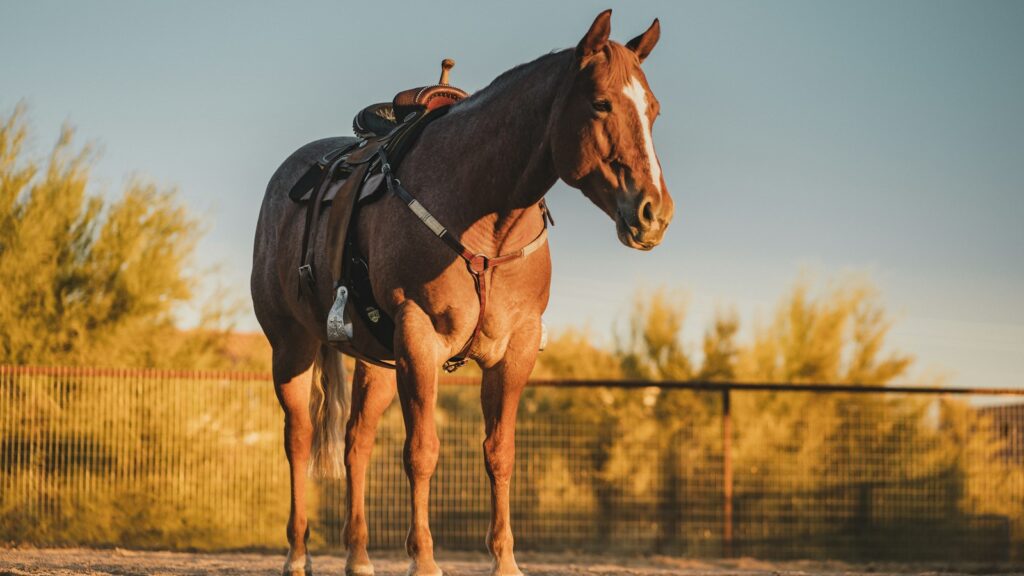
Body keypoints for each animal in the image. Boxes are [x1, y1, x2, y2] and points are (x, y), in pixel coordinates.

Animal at [251, 9, 673, 576]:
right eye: (601, 103)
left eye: (652, 109)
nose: (654, 213)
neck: (486, 214)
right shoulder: (419, 338)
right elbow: (422, 451)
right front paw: (424, 560)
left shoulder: (516, 348)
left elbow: (500, 452)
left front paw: (505, 560)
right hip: (291, 346)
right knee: (297, 440)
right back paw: (297, 554)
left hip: (375, 362)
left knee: (356, 444)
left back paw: (359, 556)